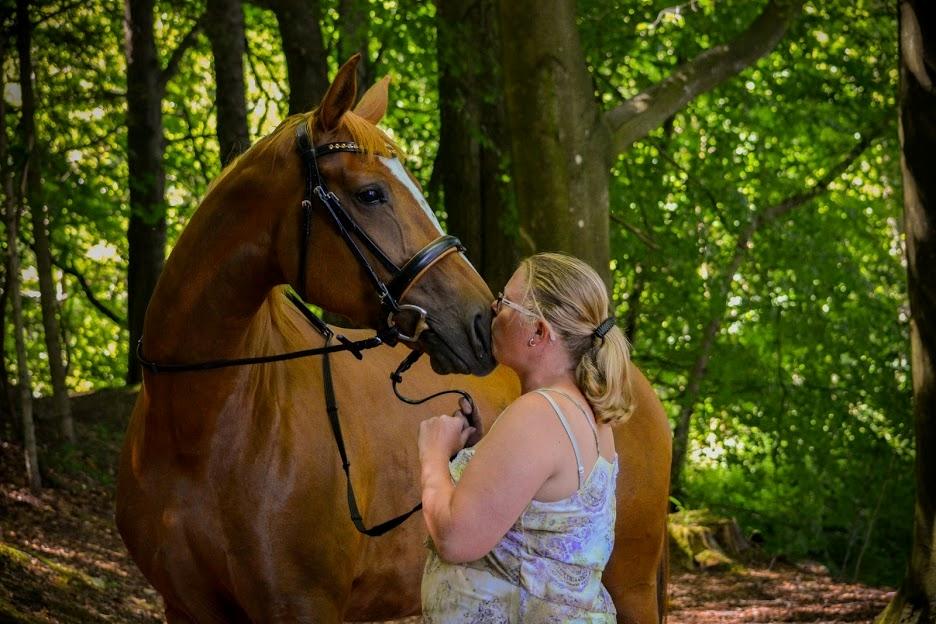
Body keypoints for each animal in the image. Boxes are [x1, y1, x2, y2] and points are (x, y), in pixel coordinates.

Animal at [115, 56, 672, 620]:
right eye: (370, 194)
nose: (482, 320)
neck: (199, 428)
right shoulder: (185, 607)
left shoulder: (303, 604)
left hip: (631, 588)